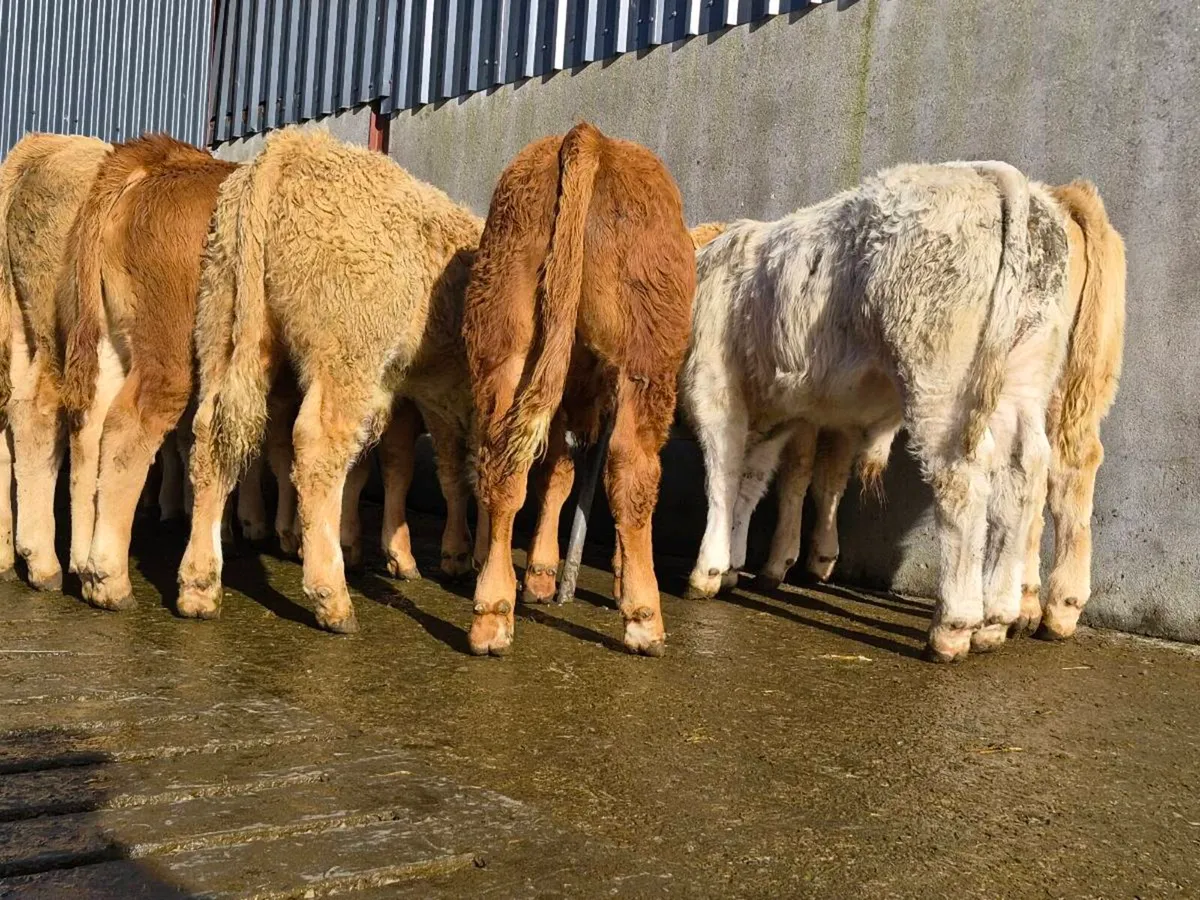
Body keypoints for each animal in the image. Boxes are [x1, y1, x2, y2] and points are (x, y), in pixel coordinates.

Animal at [55, 135, 242, 610]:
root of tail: (159, 161)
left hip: (109, 340)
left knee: (89, 425)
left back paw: (82, 563)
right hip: (169, 351)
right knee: (129, 427)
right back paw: (110, 580)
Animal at [176, 127, 481, 633]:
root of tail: (296, 143)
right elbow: (464, 474)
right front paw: (461, 557)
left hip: (224, 325)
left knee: (212, 436)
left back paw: (199, 585)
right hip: (346, 355)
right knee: (318, 449)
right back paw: (331, 597)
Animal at [464, 121, 696, 657]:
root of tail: (591, 138)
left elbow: (558, 474)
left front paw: (543, 574)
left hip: (504, 338)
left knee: (503, 462)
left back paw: (492, 611)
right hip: (645, 358)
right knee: (632, 469)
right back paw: (644, 618)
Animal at [680, 161, 1073, 662]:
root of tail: (987, 174)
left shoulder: (714, 387)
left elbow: (722, 476)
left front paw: (707, 570)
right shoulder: (777, 415)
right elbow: (750, 482)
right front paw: (731, 563)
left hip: (941, 383)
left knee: (962, 480)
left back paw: (953, 627)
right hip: (1022, 379)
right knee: (1023, 473)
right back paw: (996, 620)